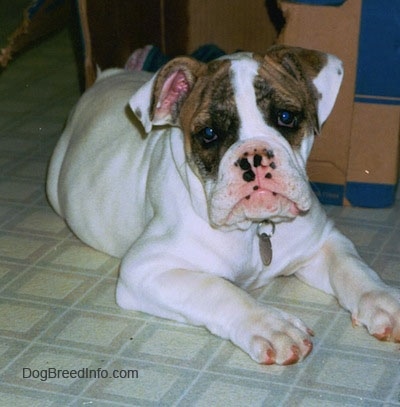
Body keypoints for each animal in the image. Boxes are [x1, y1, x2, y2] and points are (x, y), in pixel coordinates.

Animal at [47, 45, 400, 366]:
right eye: (209, 133)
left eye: (286, 117)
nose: (253, 158)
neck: (255, 231)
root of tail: (106, 78)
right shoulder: (145, 267)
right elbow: (219, 289)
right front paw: (272, 327)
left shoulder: (324, 242)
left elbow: (354, 269)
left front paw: (383, 301)